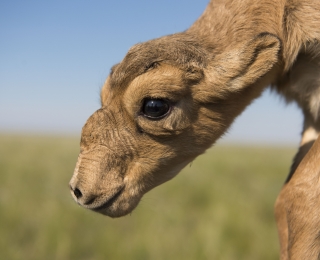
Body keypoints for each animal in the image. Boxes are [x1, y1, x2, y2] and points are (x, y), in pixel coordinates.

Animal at [69, 1, 320, 258]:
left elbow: (298, 193)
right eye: (103, 96)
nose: (79, 190)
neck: (283, 14)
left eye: (154, 105)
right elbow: (285, 200)